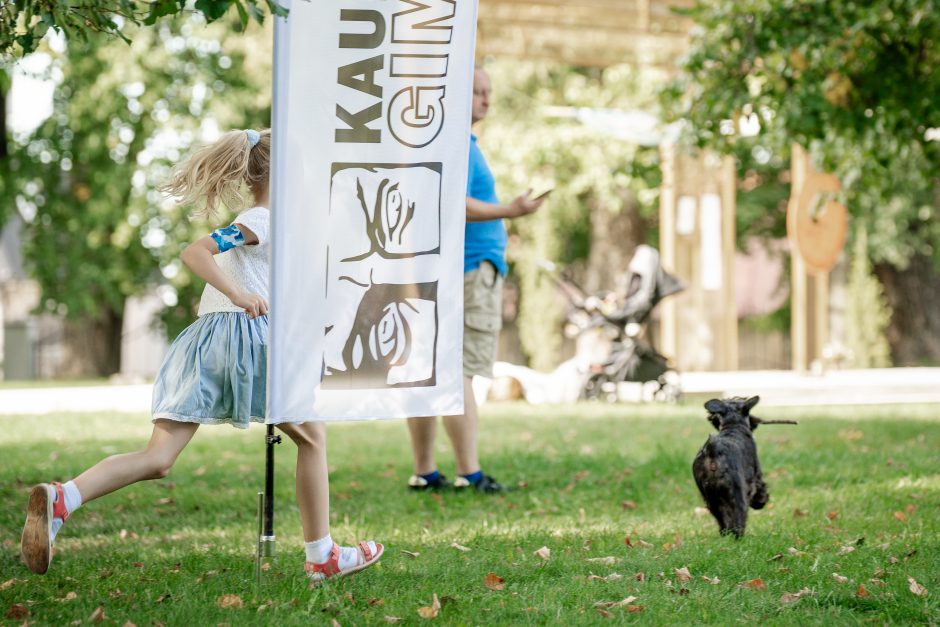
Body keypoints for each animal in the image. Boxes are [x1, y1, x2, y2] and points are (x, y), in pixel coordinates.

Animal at [692, 398, 772, 540]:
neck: (733, 425)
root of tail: (713, 450)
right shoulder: (756, 475)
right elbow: (761, 489)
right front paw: (761, 502)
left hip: (711, 499)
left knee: (722, 519)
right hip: (737, 495)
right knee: (737, 517)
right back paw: (738, 537)